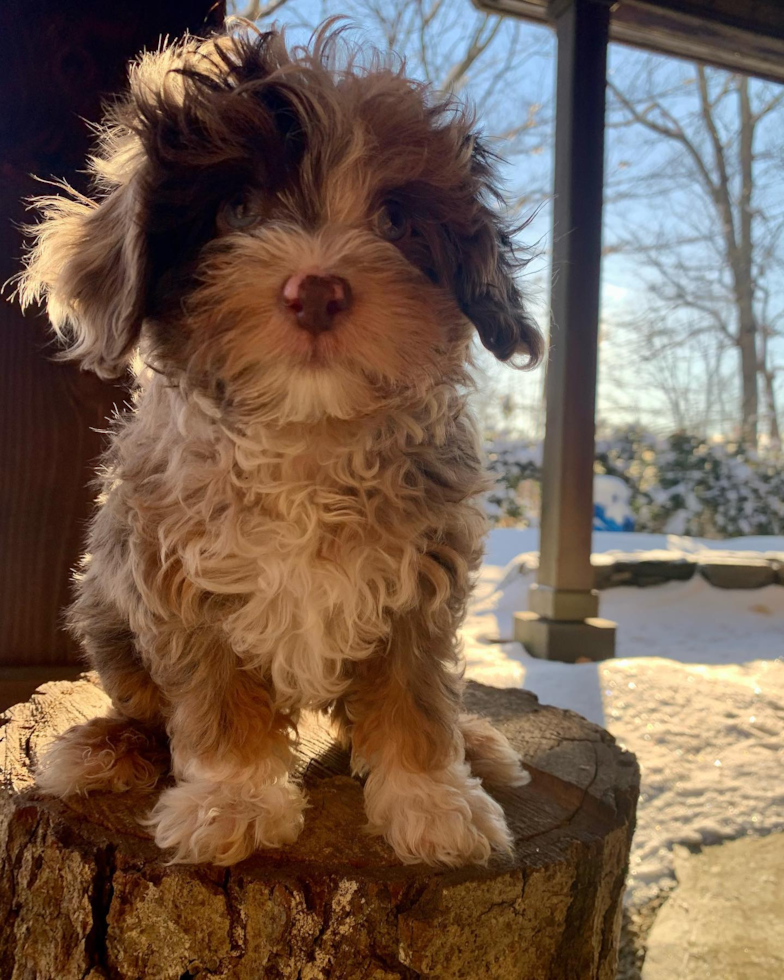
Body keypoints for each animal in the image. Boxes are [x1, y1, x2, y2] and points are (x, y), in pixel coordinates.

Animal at [19, 24, 544, 864]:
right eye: (236, 208)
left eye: (395, 221)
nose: (318, 290)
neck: (305, 438)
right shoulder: (174, 584)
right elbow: (217, 703)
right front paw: (230, 801)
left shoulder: (423, 583)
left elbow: (414, 694)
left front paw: (433, 800)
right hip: (105, 614)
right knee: (142, 706)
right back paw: (106, 748)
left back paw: (479, 743)